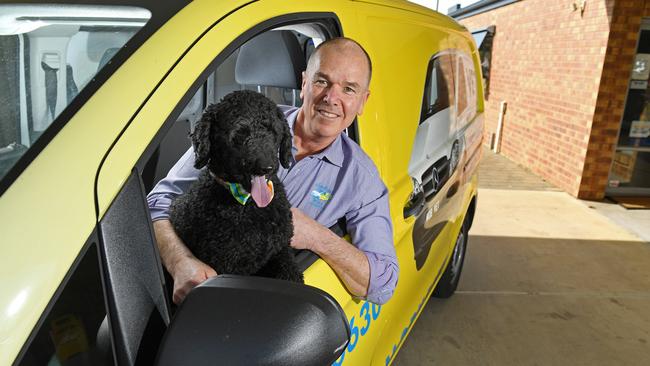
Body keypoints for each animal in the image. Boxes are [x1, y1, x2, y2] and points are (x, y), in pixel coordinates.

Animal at [171, 91, 306, 284]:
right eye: (240, 134)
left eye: (272, 131)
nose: (266, 167)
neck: (249, 205)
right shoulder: (230, 266)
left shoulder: (280, 250)